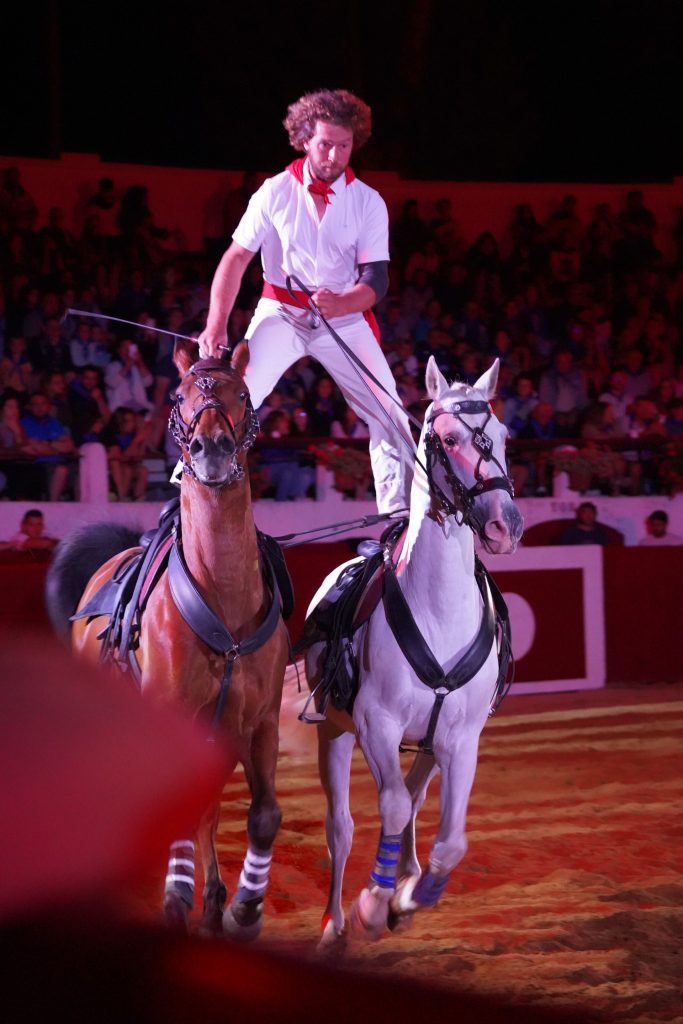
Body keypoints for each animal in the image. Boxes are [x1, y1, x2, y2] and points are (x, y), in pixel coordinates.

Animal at [44, 339, 290, 937]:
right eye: (179, 397)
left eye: (242, 393)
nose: (212, 449)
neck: (224, 597)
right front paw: (178, 896)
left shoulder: (259, 722)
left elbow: (263, 814)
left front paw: (242, 909)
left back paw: (215, 899)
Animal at [303, 358, 524, 942]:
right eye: (447, 438)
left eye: (503, 435)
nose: (506, 525)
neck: (438, 609)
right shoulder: (375, 724)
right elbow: (392, 807)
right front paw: (373, 901)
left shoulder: (461, 740)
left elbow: (450, 839)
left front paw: (409, 894)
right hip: (335, 732)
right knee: (343, 826)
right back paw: (335, 922)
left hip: (427, 743)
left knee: (414, 794)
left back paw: (404, 877)